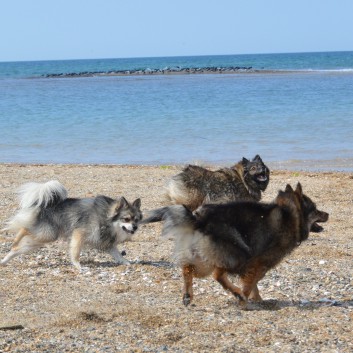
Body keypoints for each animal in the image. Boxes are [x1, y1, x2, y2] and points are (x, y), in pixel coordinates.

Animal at [1, 180, 142, 268]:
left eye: (136, 219)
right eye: (126, 219)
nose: (135, 228)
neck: (106, 218)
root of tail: (45, 204)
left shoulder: (105, 241)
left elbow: (117, 254)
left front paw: (126, 262)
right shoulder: (79, 234)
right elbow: (75, 251)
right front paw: (77, 265)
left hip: (43, 235)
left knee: (23, 232)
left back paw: (11, 248)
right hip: (48, 235)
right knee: (23, 233)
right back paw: (10, 247)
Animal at [140, 183, 328, 306]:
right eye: (315, 209)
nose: (328, 214)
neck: (289, 214)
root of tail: (199, 219)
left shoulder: (255, 264)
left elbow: (254, 283)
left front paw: (257, 299)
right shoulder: (259, 261)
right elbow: (251, 282)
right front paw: (245, 299)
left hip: (204, 256)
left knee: (187, 269)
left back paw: (187, 295)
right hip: (238, 254)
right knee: (217, 274)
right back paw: (237, 294)